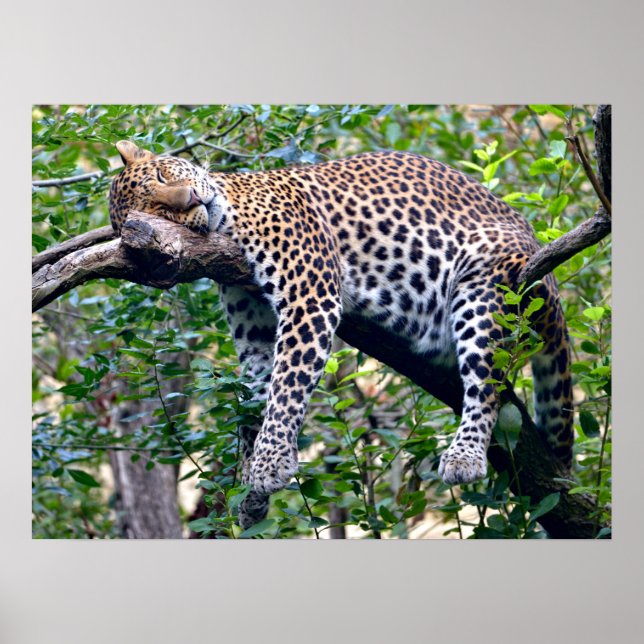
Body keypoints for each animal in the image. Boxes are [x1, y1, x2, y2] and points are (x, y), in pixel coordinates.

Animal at [109, 139, 574, 530]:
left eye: (165, 175)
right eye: (159, 213)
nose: (192, 198)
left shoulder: (309, 297)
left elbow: (287, 387)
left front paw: (270, 465)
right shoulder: (255, 330)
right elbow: (257, 400)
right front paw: (252, 495)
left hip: (486, 285)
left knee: (488, 380)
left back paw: (465, 456)